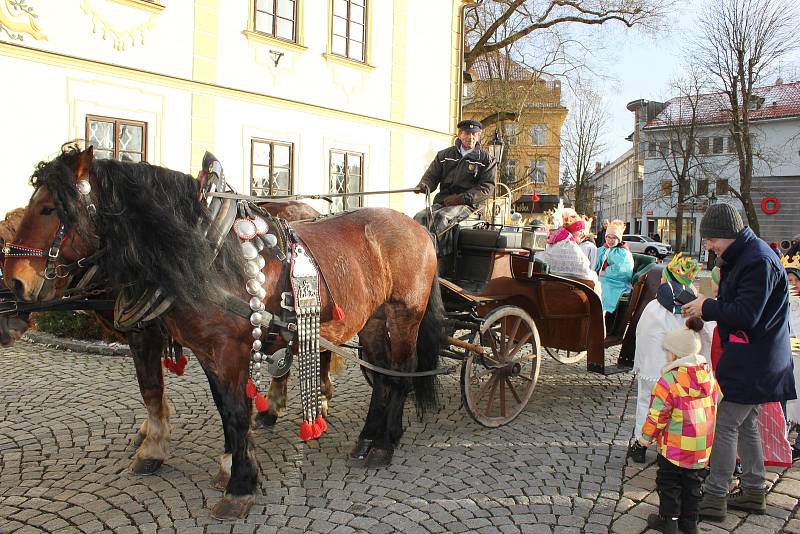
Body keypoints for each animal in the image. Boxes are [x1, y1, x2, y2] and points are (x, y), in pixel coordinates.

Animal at [4, 147, 444, 520]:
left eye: (48, 208)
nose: (16, 283)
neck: (206, 255)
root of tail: (417, 228)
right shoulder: (207, 350)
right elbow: (221, 407)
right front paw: (231, 465)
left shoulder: (221, 346)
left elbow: (228, 410)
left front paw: (238, 487)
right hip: (371, 320)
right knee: (383, 376)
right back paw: (369, 438)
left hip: (404, 314)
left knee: (401, 373)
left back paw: (384, 444)